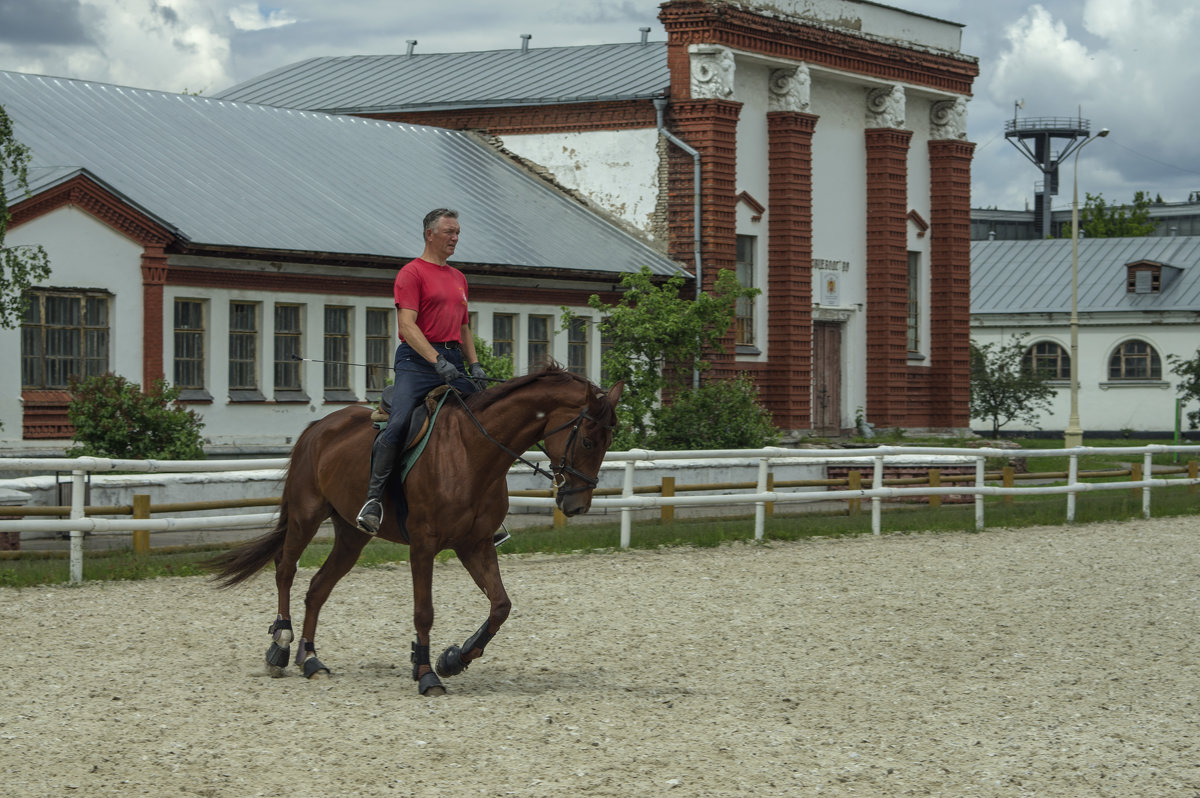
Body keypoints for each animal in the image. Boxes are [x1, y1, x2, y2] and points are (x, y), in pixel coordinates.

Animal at [206, 364, 624, 696]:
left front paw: (454, 659)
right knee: (285, 569)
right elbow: (424, 612)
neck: (472, 451)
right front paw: (426, 674)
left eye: (608, 442)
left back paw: (310, 659)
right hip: (306, 516)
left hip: (353, 535)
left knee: (318, 587)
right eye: (588, 440)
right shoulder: (423, 544)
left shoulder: (475, 544)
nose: (577, 505)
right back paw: (280, 645)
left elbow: (501, 606)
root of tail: (318, 427)